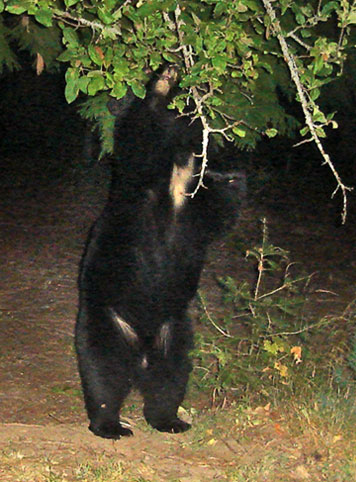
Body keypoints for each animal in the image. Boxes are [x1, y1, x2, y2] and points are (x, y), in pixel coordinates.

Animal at [76, 66, 241, 438]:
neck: (175, 186)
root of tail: (141, 350)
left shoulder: (194, 214)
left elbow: (221, 212)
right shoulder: (144, 185)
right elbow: (138, 135)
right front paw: (164, 83)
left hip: (173, 329)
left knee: (170, 377)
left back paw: (168, 419)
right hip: (107, 323)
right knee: (104, 374)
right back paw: (109, 424)